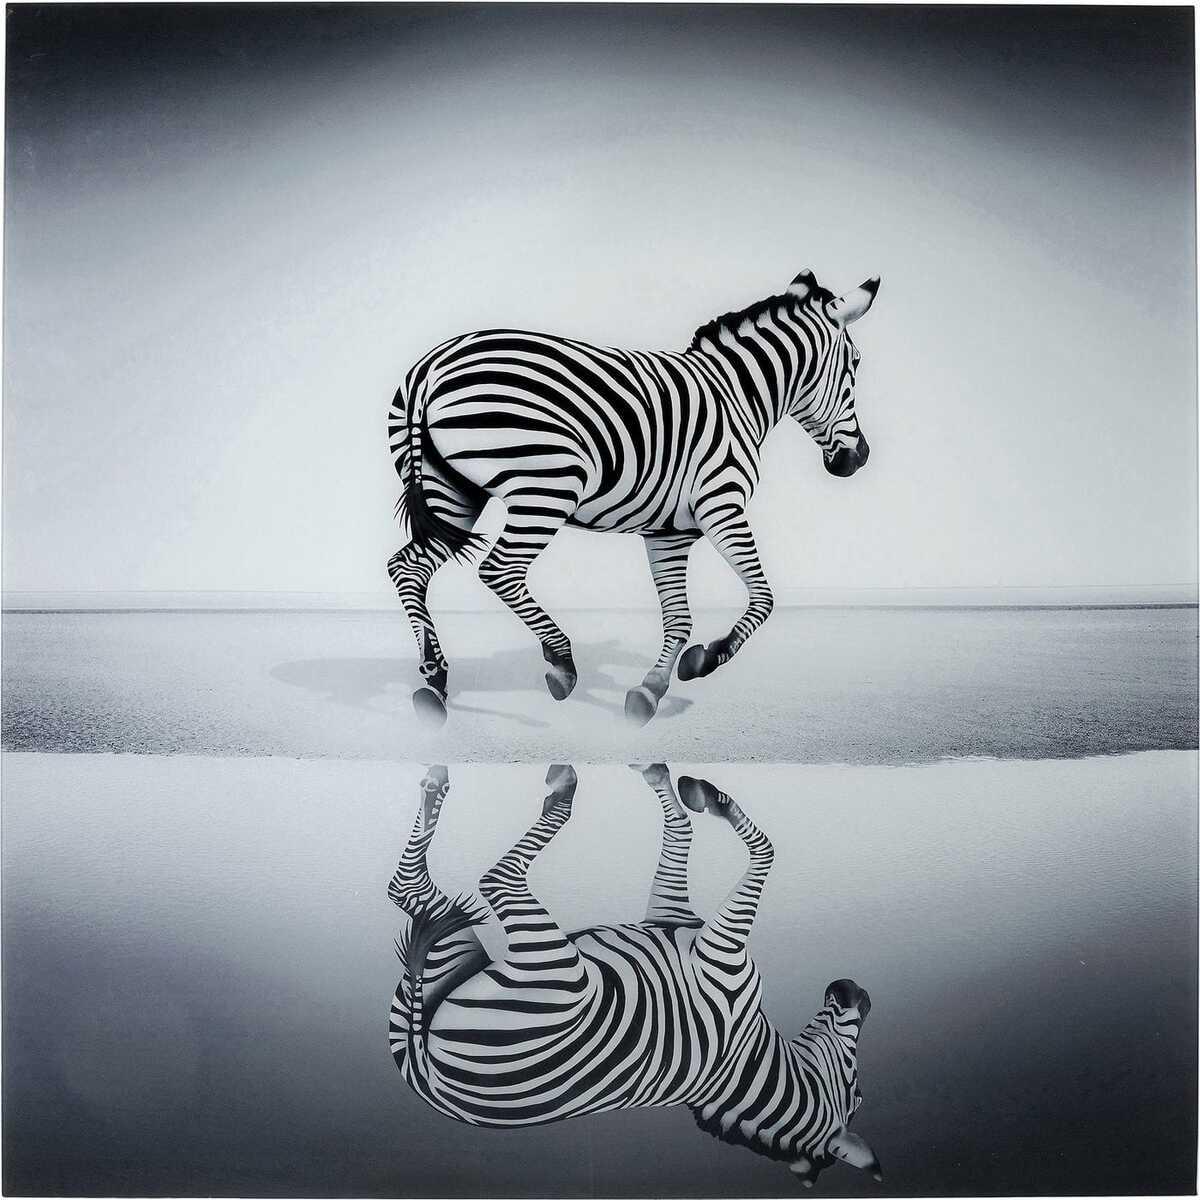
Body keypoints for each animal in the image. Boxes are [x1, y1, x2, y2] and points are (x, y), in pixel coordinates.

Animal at [386, 268, 880, 726]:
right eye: (856, 365)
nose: (859, 458)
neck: (736, 396)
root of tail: (431, 366)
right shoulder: (722, 504)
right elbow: (763, 598)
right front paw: (705, 659)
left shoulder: (669, 533)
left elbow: (678, 618)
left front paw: (651, 689)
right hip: (547, 486)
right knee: (499, 570)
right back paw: (560, 662)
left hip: (452, 494)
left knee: (407, 567)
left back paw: (434, 678)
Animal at [388, 763, 882, 1189]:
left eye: (856, 1091)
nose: (859, 991)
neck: (743, 1060)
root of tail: (429, 1079)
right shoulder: (677, 918)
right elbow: (683, 833)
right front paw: (669, 781)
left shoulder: (722, 954)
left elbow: (765, 850)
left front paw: (711, 800)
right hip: (455, 949)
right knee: (407, 889)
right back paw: (439, 790)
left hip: (560, 973)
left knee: (482, 880)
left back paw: (551, 791)